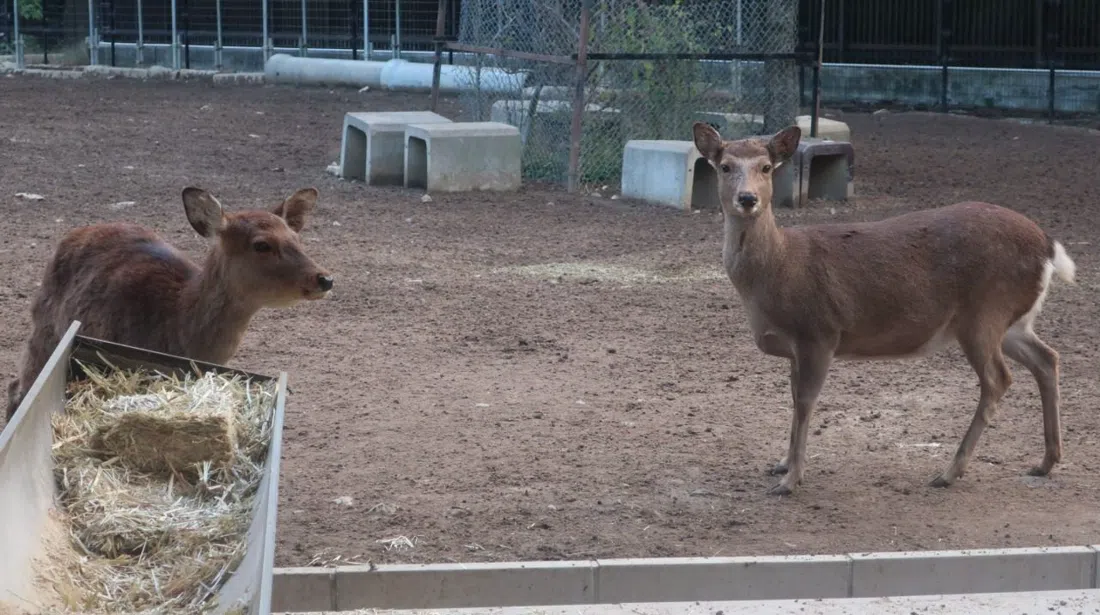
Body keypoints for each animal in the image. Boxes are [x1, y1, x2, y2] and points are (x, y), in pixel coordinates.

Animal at [5, 186, 335, 421]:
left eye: (296, 238)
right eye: (262, 244)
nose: (325, 278)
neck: (175, 328)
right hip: (44, 329)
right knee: (17, 386)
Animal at [691, 121, 1076, 496]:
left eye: (766, 167)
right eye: (725, 166)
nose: (747, 198)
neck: (780, 268)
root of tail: (1048, 247)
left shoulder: (819, 331)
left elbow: (805, 401)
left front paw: (790, 480)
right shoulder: (796, 347)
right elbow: (793, 398)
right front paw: (782, 464)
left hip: (984, 311)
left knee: (998, 379)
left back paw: (949, 472)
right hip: (1012, 321)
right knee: (1047, 358)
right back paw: (1046, 461)